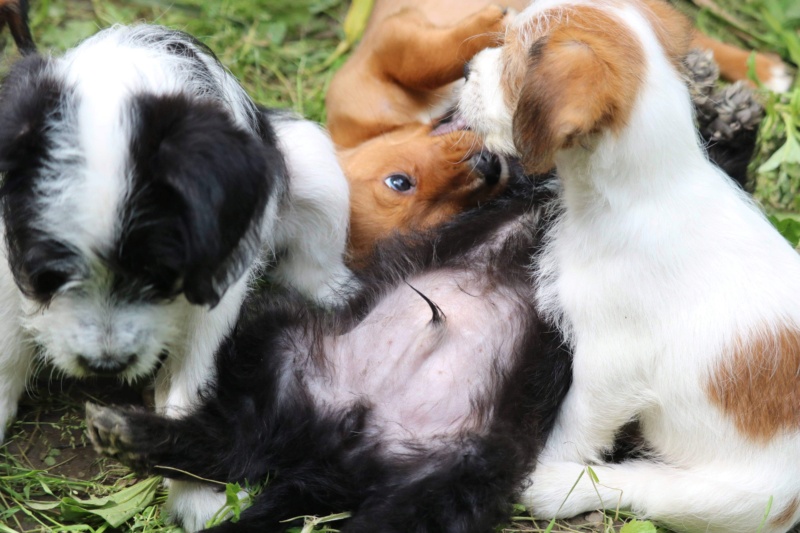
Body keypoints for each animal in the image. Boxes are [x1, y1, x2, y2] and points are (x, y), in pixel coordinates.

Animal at [0, 23, 354, 528]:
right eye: (52, 274)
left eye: (160, 275)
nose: (106, 366)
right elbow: (8, 346)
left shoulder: (219, 289)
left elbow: (195, 380)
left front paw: (195, 494)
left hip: (315, 165)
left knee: (315, 259)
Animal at [86, 180, 576, 532]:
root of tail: (338, 450)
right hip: (281, 342)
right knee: (235, 440)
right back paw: (129, 434)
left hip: (455, 474)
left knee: (240, 447)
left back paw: (128, 435)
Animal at [460, 1, 800, 532]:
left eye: (513, 62)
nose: (465, 70)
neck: (646, 191)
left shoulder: (609, 366)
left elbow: (575, 426)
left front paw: (546, 463)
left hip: (735, 500)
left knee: (645, 489)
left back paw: (556, 486)